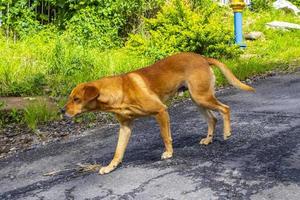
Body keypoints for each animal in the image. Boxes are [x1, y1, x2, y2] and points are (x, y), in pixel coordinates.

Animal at [62, 52, 254, 174]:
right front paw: (111, 166)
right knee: (212, 119)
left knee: (225, 108)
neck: (119, 92)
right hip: (197, 99)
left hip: (202, 97)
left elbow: (165, 136)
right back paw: (208, 139)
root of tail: (202, 58)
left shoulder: (160, 111)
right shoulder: (125, 126)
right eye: (70, 98)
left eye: (76, 99)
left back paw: (227, 132)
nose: (62, 111)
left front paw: (168, 153)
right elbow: (118, 150)